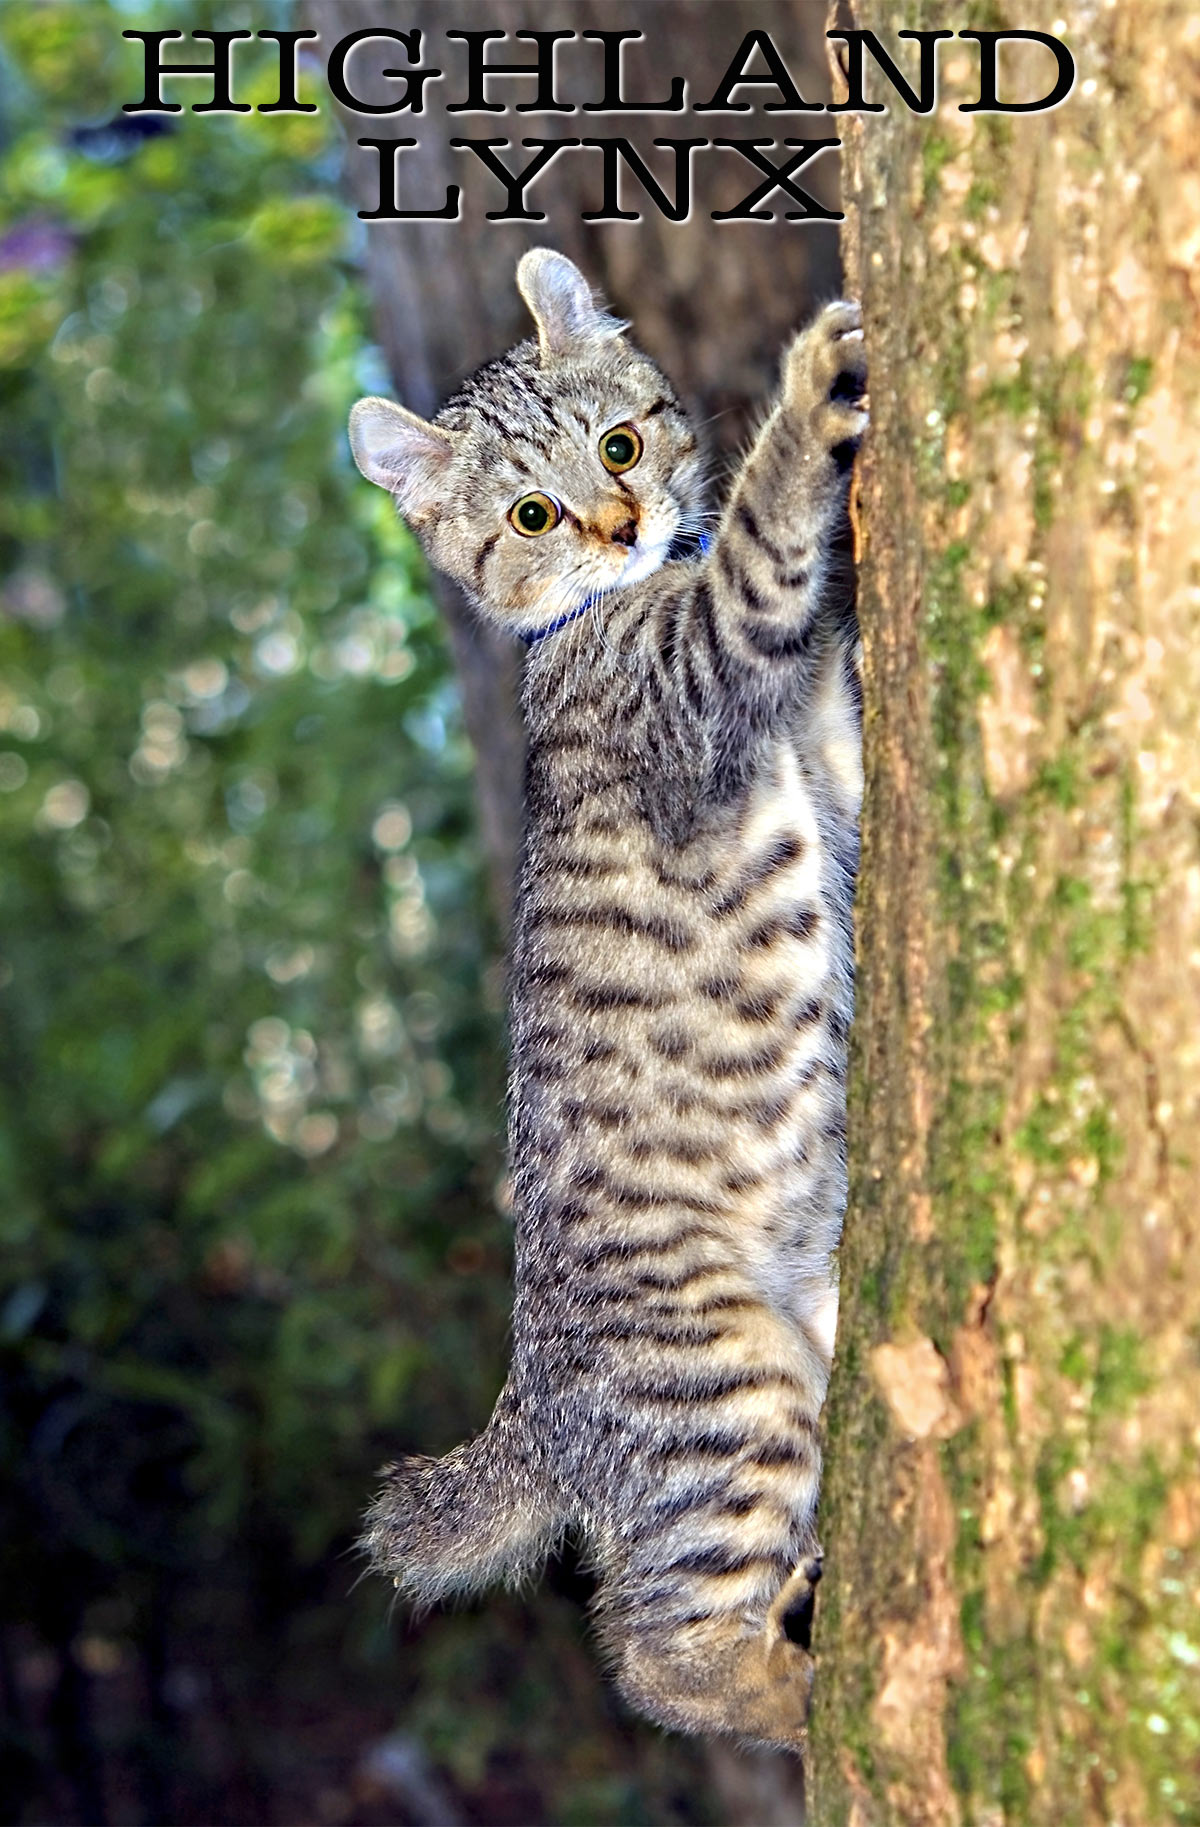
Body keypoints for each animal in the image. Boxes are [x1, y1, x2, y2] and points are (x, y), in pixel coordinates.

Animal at [347, 250, 862, 1746]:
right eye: (531, 513)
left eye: (622, 444)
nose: (625, 522)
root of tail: (530, 1403)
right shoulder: (708, 658)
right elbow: (761, 542)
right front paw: (812, 388)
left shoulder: (829, 756)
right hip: (726, 1395)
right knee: (653, 1646)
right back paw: (796, 1693)